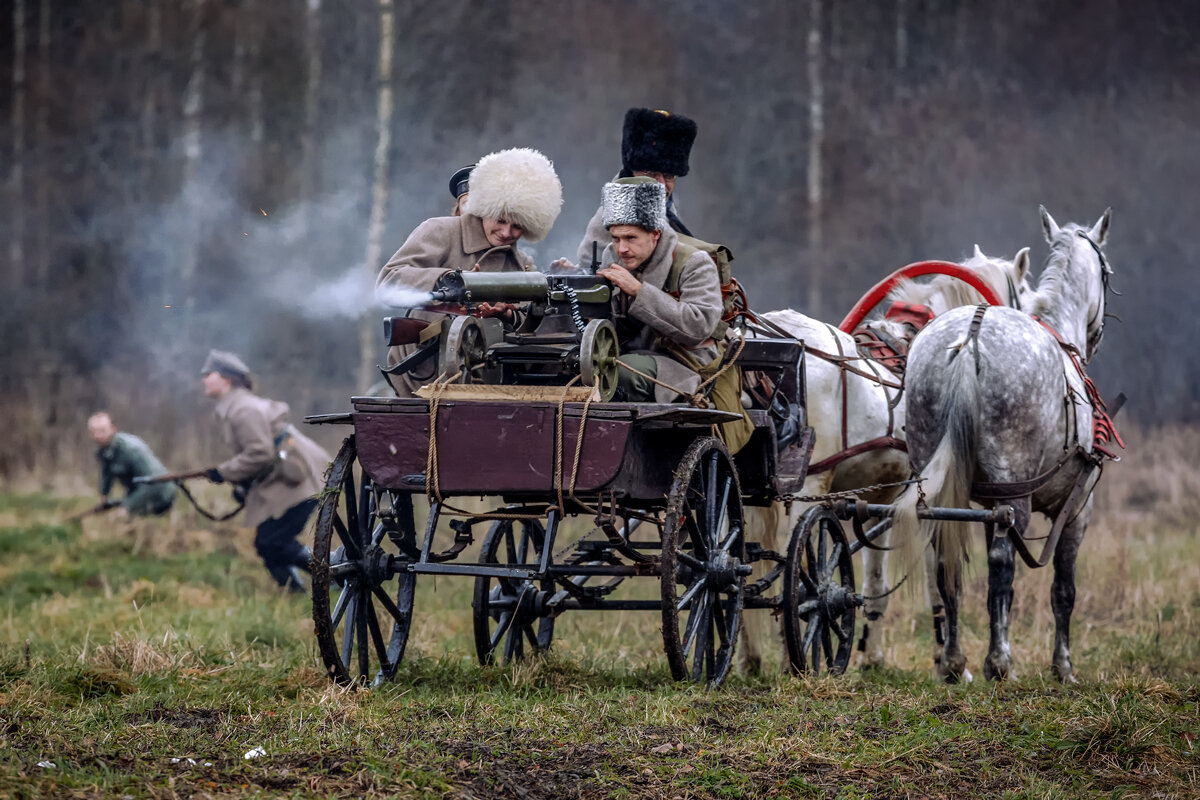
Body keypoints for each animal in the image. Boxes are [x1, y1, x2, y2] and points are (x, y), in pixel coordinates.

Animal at [739, 247, 1032, 671]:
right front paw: (945, 658)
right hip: (809, 487)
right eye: (1023, 296)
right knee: (797, 575)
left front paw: (873, 654)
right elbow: (933, 578)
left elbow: (876, 579)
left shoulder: (877, 498)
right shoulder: (922, 497)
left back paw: (748, 657)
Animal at [897, 206, 1118, 681]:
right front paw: (1063, 667)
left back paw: (953, 662)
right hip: (1012, 492)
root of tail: (971, 338)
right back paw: (999, 662)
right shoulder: (1078, 508)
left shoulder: (981, 506)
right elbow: (1062, 590)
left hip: (941, 483)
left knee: (944, 563)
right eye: (1107, 274)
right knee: (1002, 565)